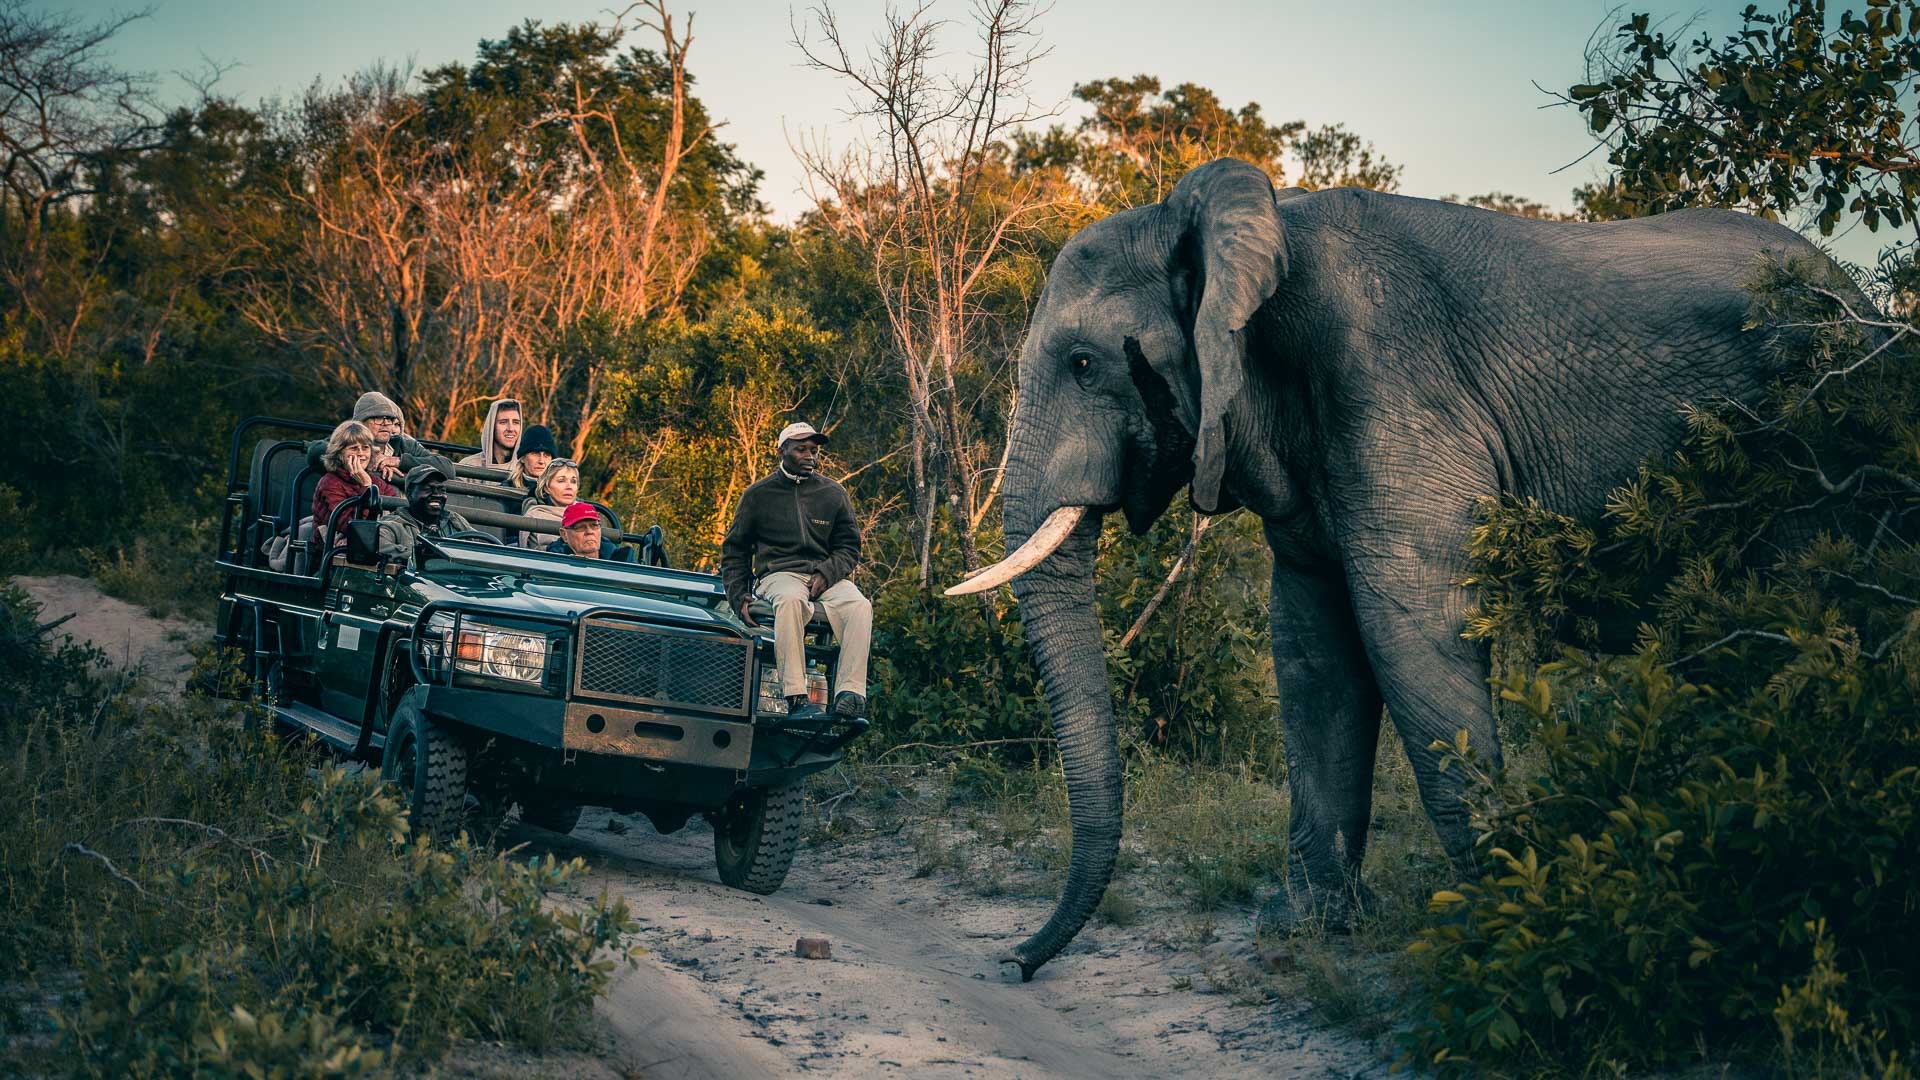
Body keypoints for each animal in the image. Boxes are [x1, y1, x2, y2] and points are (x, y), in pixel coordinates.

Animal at [948, 157, 1840, 981]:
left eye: (1085, 365)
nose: (1017, 963)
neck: (1258, 237)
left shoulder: (1396, 384)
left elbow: (1408, 629)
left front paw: (1500, 934)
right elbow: (1313, 650)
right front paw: (1307, 928)